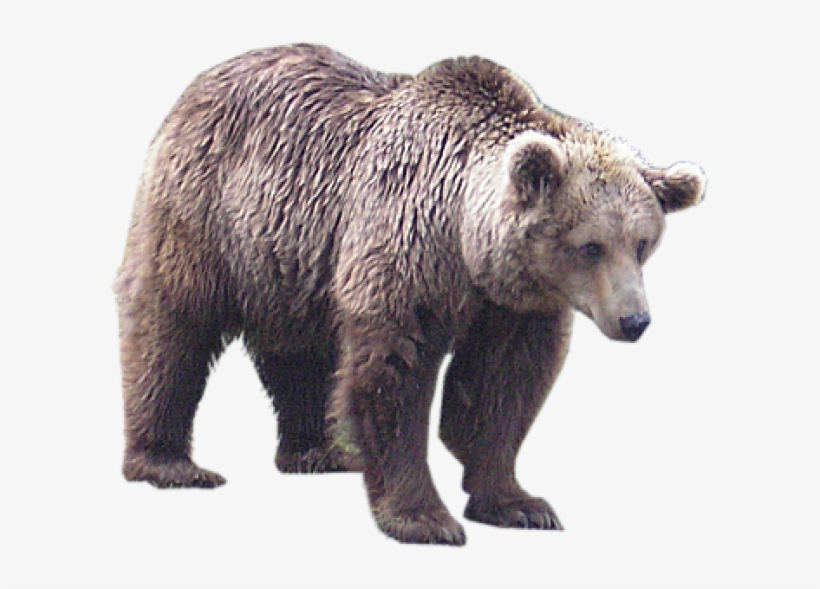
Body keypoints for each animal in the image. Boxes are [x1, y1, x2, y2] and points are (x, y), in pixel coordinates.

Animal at [115, 43, 705, 546]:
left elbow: (505, 383)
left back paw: (319, 449)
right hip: (208, 212)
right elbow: (393, 373)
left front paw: (518, 503)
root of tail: (204, 80)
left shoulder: (514, 303)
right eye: (590, 246)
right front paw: (424, 517)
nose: (634, 320)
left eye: (643, 243)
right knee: (171, 327)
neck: (465, 242)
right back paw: (171, 462)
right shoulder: (404, 244)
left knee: (300, 352)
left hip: (291, 257)